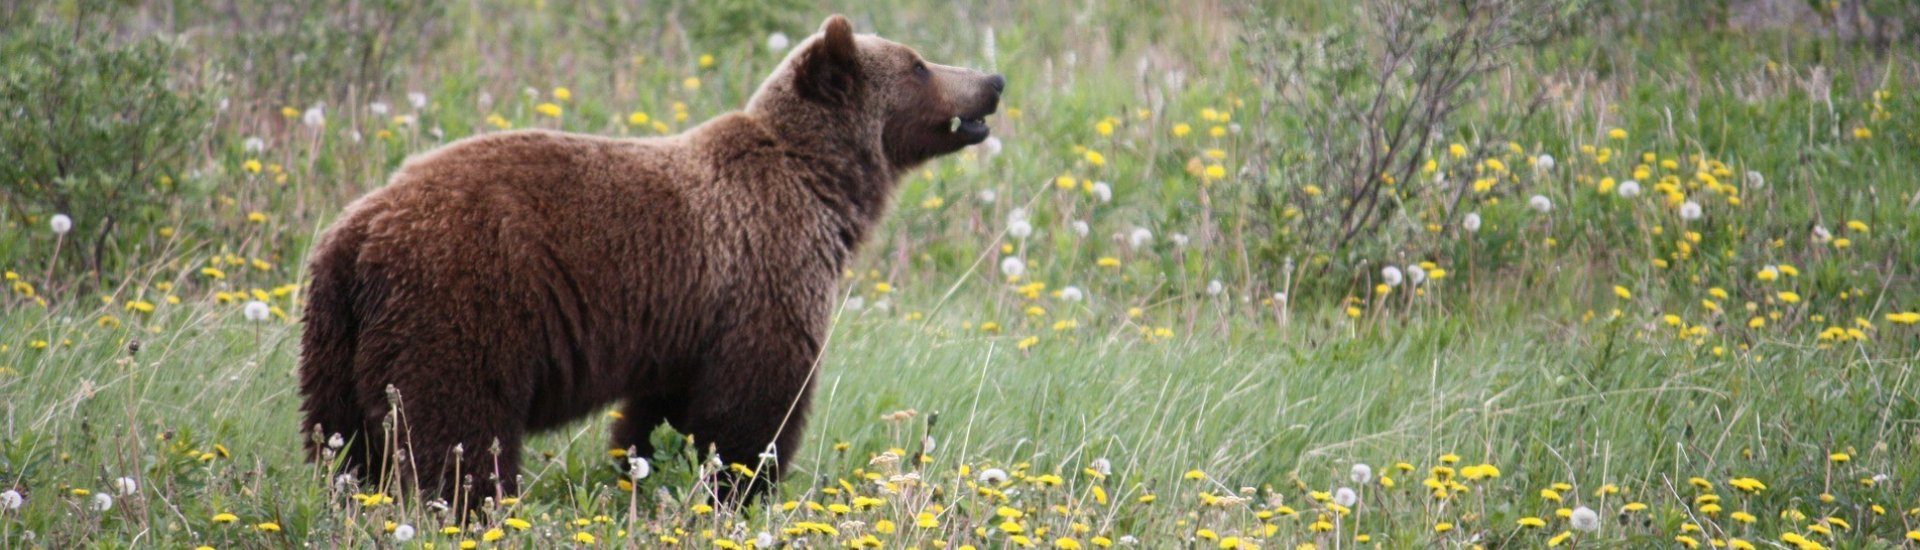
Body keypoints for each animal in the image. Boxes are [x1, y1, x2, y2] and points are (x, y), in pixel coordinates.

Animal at [297, 14, 1002, 509]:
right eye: (918, 65)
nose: (992, 82)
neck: (823, 189)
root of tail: (357, 234)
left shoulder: (686, 320)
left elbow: (659, 415)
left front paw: (645, 474)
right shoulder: (765, 270)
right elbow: (753, 406)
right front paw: (739, 489)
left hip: (336, 337)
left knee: (340, 442)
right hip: (461, 304)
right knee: (456, 429)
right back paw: (470, 506)